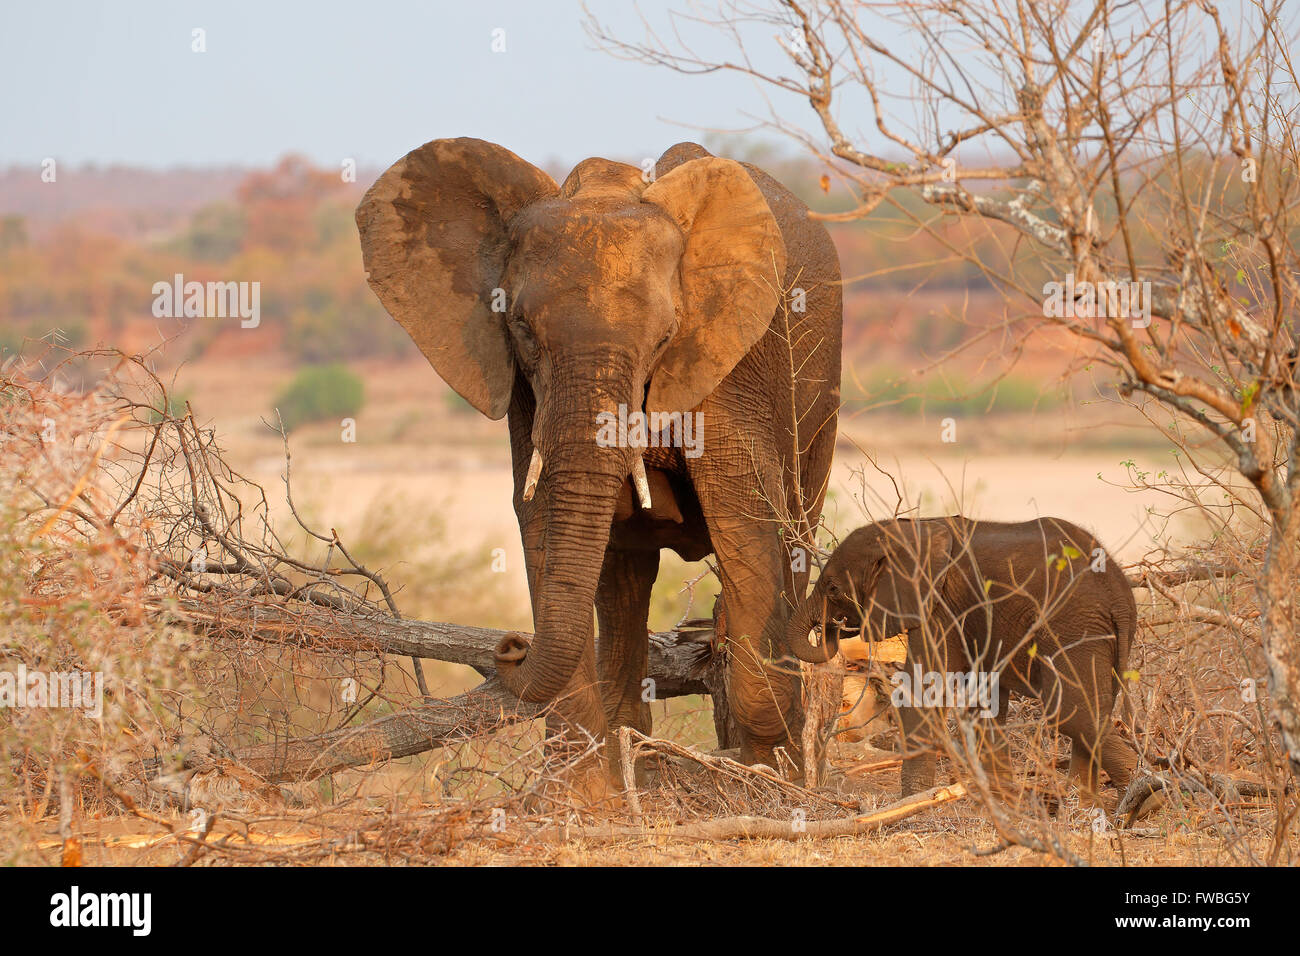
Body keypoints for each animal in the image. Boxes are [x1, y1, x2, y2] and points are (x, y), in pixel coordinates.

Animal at [356, 136, 842, 790]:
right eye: (521, 329)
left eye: (664, 337)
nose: (510, 647)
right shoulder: (524, 391)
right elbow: (541, 521)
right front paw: (581, 788)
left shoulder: (732, 366)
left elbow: (746, 523)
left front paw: (763, 771)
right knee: (625, 576)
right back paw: (632, 750)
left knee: (794, 533)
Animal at [780, 520, 1138, 796]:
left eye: (832, 589)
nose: (834, 626)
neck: (910, 528)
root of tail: (1120, 595)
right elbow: (986, 700)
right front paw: (1002, 798)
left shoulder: (939, 606)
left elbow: (923, 691)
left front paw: (913, 800)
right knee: (1092, 710)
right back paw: (1083, 803)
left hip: (1071, 625)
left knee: (1070, 710)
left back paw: (1140, 801)